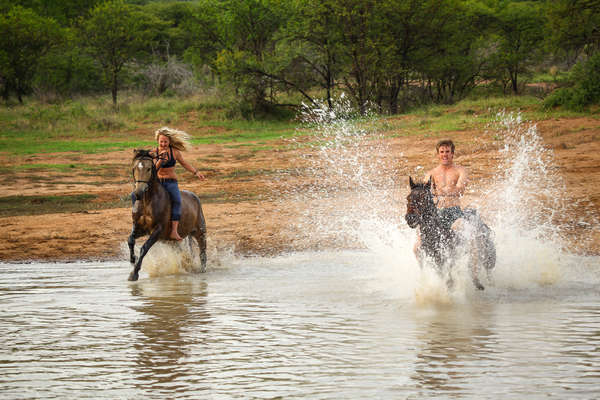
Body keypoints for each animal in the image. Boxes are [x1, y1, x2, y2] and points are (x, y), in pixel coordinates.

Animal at [126, 149, 206, 282]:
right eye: (135, 168)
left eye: (148, 168)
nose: (138, 193)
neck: (147, 201)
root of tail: (195, 197)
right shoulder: (139, 227)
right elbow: (130, 240)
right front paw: (133, 259)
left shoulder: (158, 230)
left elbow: (144, 248)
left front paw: (134, 273)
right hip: (172, 241)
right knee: (183, 253)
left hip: (200, 232)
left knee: (203, 252)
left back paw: (202, 270)